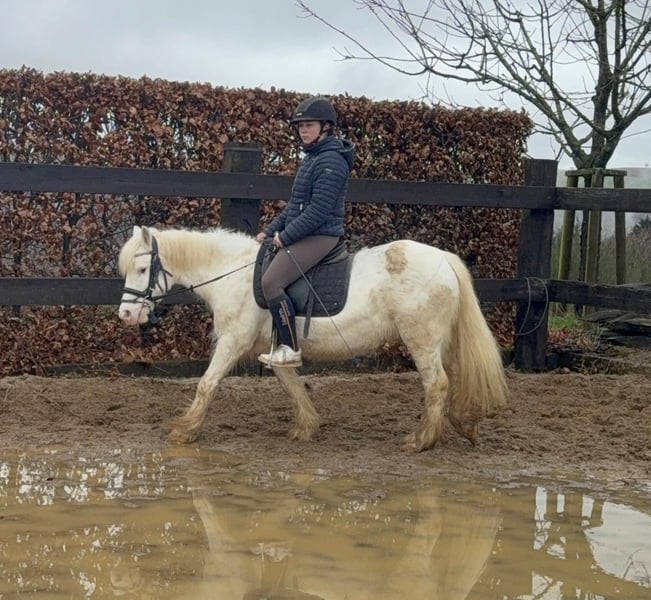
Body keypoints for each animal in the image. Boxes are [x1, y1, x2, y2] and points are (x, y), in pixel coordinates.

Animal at [117, 225, 508, 451]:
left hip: (421, 338)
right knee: (453, 377)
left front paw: (185, 431)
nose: (126, 315)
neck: (233, 273)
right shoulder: (274, 346)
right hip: (439, 340)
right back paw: (464, 425)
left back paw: (421, 440)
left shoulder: (233, 341)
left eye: (142, 268)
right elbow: (291, 383)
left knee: (437, 383)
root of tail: (443, 259)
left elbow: (207, 383)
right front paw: (306, 426)